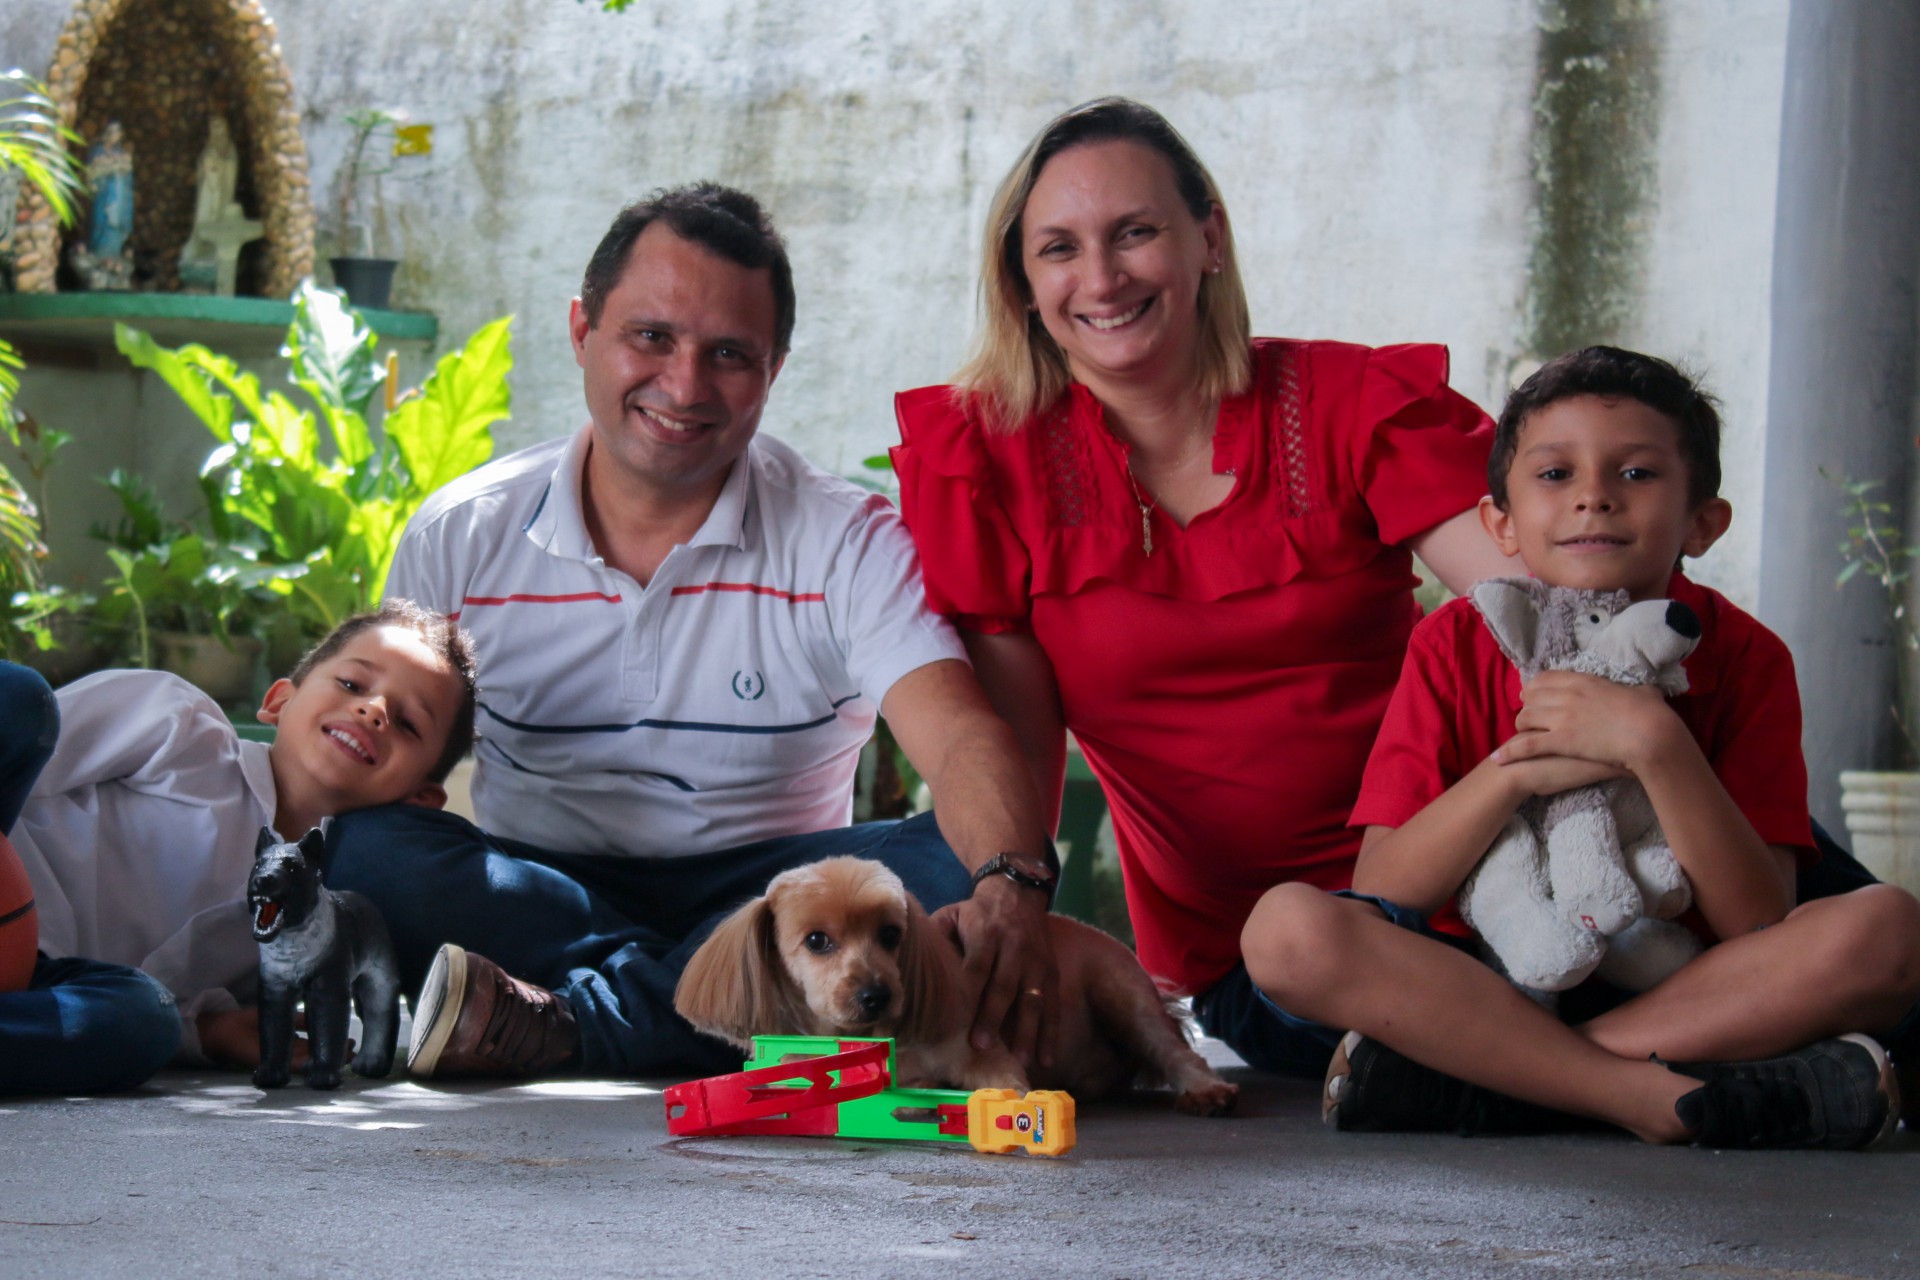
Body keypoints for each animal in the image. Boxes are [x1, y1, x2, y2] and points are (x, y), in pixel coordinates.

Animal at [675, 855, 1236, 1113]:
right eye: (817, 941)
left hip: (1123, 995)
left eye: (891, 934)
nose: (876, 993)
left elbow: (1000, 1083)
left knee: (1177, 1052)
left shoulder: (986, 1055)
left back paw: (1205, 1090)